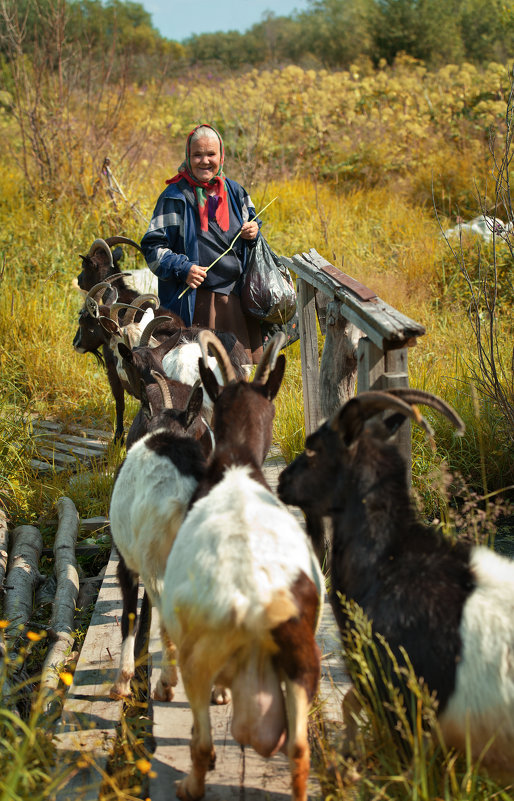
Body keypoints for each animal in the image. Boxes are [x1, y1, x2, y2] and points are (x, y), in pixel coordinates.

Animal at [158, 330, 322, 800]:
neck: (236, 465)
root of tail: (255, 605)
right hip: (303, 662)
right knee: (299, 750)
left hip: (198, 659)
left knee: (202, 741)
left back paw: (190, 785)